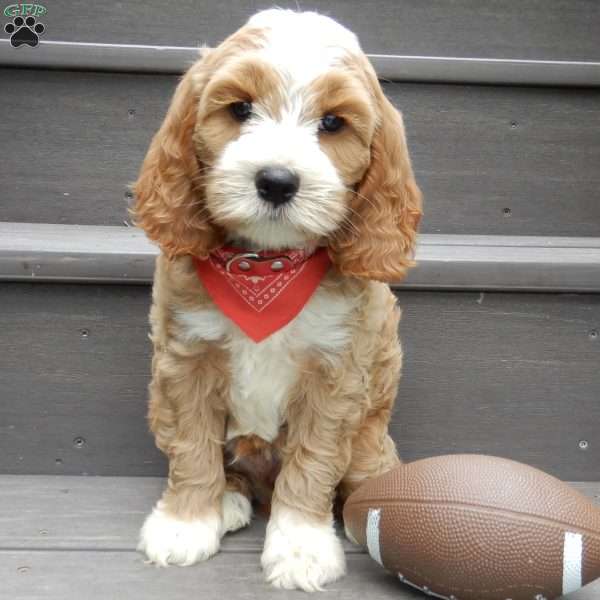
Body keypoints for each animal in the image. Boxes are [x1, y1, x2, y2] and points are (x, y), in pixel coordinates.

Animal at [134, 7, 422, 592]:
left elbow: (313, 462)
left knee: (366, 469)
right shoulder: (185, 358)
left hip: (371, 430)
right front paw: (185, 523)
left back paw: (364, 512)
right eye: (240, 109)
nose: (276, 181)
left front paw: (300, 547)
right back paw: (228, 499)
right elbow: (191, 446)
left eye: (333, 123)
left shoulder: (336, 374)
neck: (266, 266)